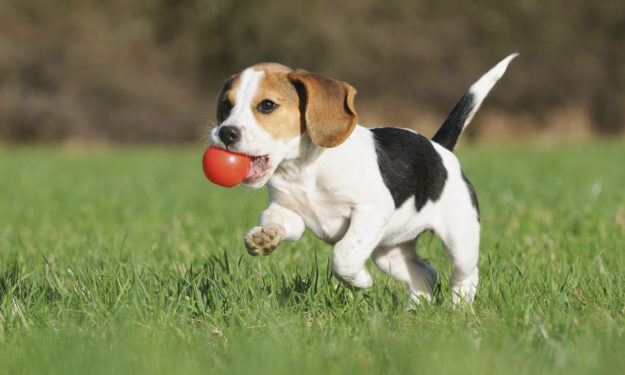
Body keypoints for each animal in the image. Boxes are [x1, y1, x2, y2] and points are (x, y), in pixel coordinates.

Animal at [210, 53, 516, 306]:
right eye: (226, 105)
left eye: (267, 105)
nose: (225, 133)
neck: (304, 169)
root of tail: (439, 148)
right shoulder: (289, 212)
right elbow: (275, 220)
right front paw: (265, 237)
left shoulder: (370, 211)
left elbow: (343, 255)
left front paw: (360, 281)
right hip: (389, 253)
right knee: (426, 274)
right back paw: (414, 312)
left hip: (460, 239)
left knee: (466, 275)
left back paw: (459, 309)